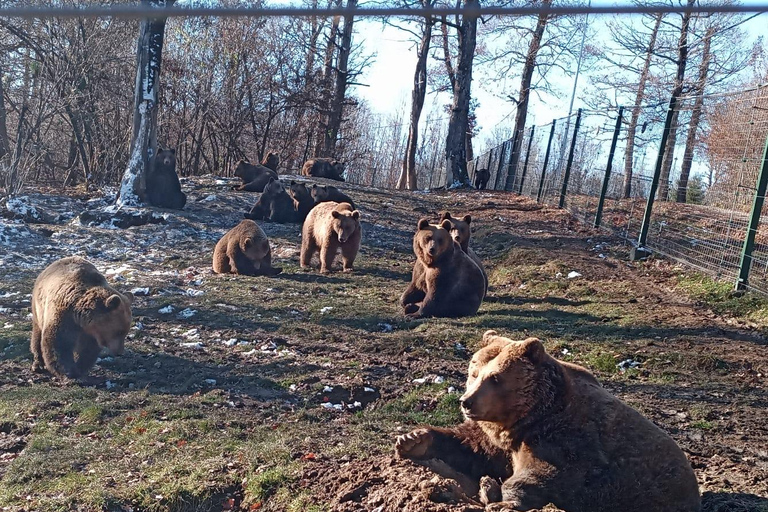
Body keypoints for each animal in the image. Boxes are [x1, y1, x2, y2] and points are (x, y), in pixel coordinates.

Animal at [395, 330, 701, 512]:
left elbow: (550, 473)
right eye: (474, 372)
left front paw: (502, 499)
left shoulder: (566, 440)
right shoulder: (503, 441)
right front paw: (414, 440)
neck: (531, 417)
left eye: (495, 378)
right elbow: (471, 446)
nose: (467, 401)